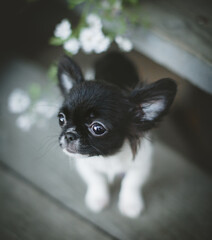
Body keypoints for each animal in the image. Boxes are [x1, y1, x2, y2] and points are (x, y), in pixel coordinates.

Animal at [57, 52, 176, 218]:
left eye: (98, 128)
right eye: (61, 119)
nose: (69, 135)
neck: (108, 156)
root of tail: (114, 54)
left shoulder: (142, 164)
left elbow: (131, 182)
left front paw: (130, 204)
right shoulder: (85, 164)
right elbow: (97, 179)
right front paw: (98, 198)